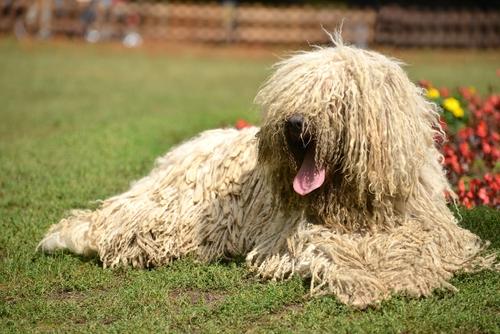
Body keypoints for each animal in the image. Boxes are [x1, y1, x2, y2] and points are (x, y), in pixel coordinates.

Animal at [37, 39, 494, 308]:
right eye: (293, 94)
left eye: (338, 99)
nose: (294, 123)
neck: (351, 205)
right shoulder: (299, 234)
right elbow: (333, 252)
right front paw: (366, 279)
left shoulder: (428, 225)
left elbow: (423, 244)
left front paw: (408, 270)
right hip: (170, 216)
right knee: (109, 228)